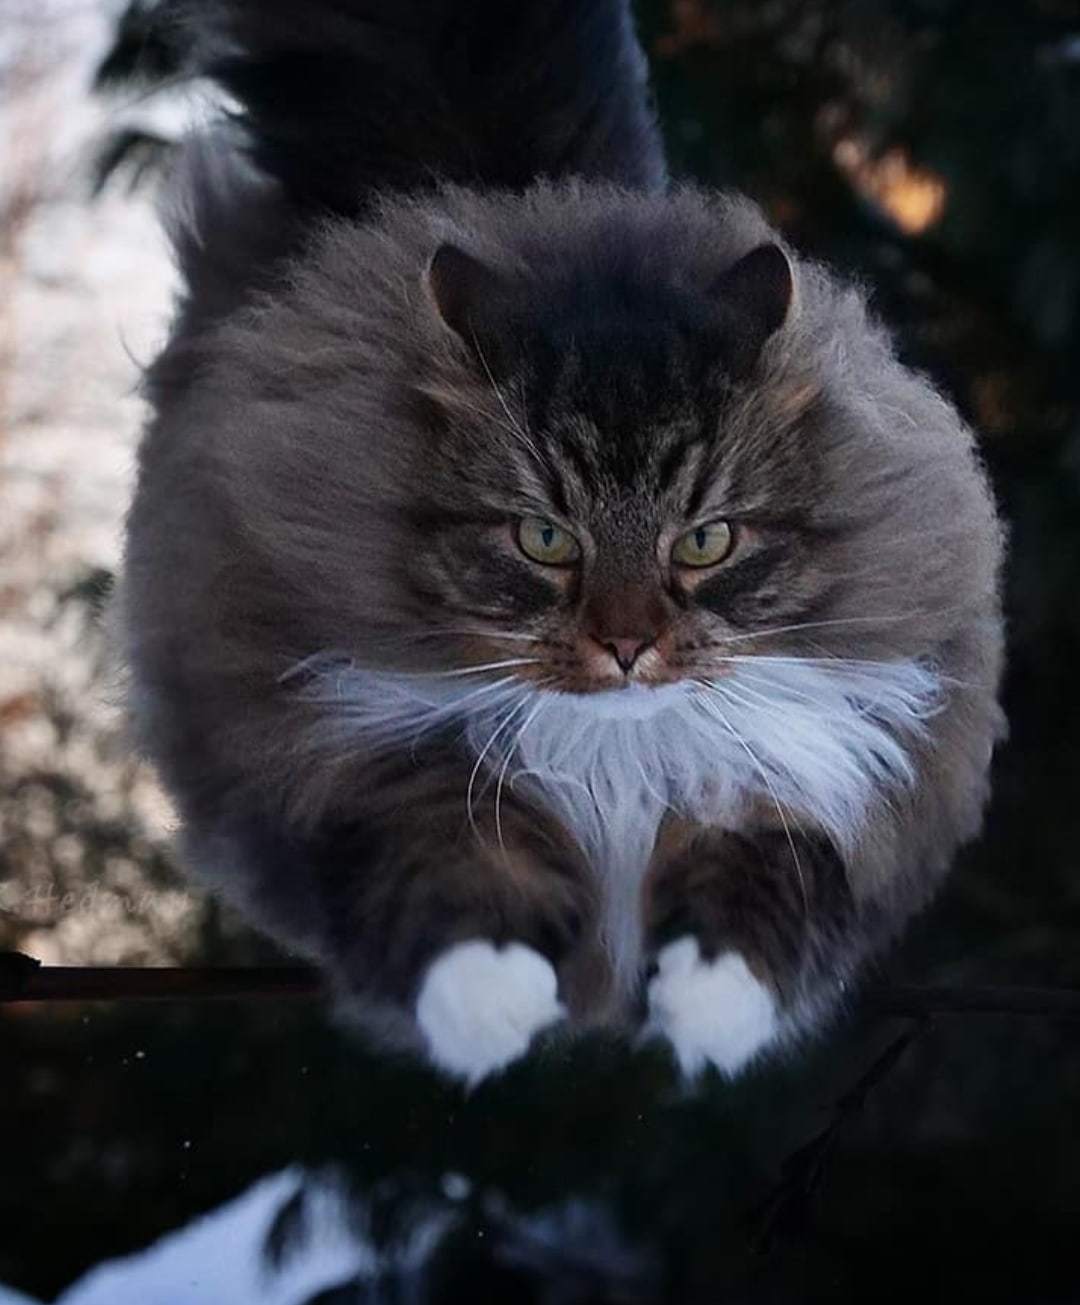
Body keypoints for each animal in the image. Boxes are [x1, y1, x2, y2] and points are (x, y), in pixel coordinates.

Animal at [118, 0, 1001, 1080]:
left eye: (705, 542)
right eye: (543, 537)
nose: (627, 645)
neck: (614, 757)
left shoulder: (832, 766)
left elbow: (770, 885)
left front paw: (706, 1011)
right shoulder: (346, 746)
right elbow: (440, 869)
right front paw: (491, 1008)